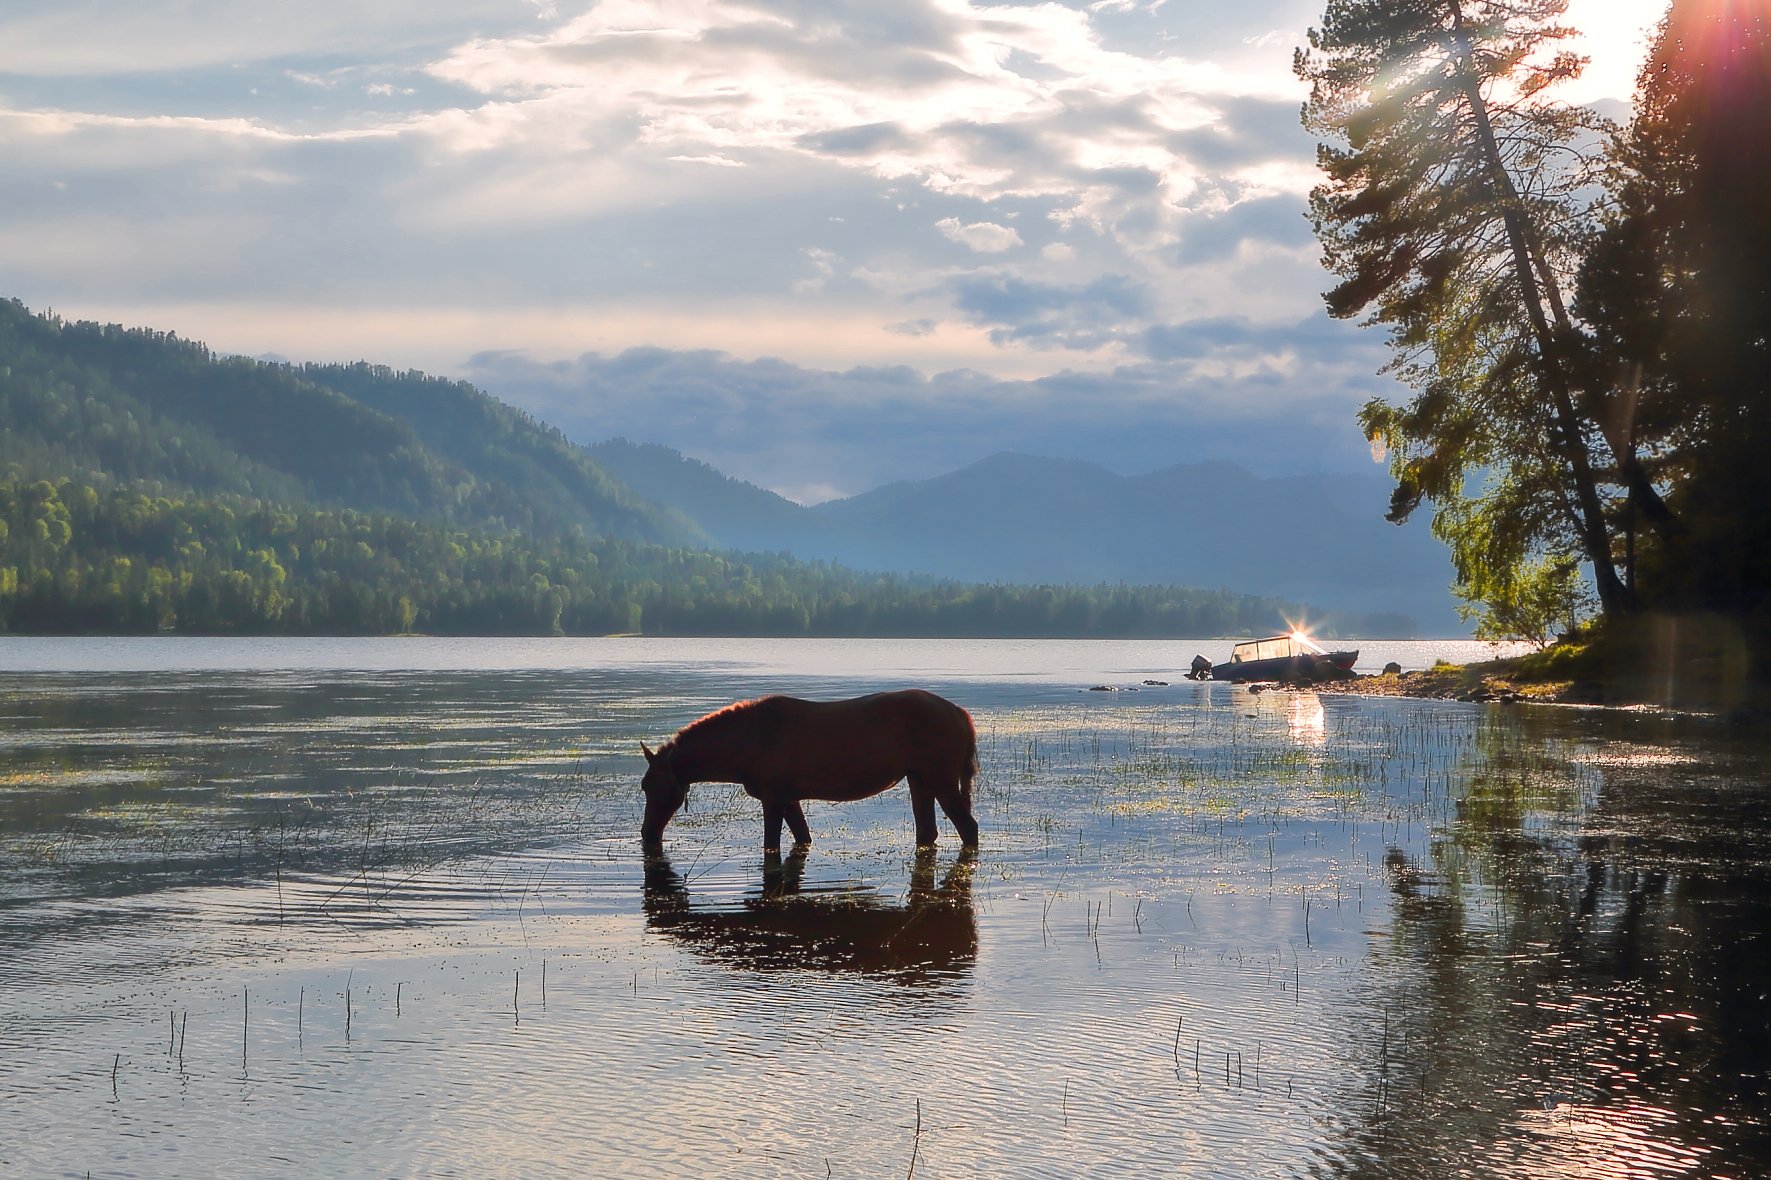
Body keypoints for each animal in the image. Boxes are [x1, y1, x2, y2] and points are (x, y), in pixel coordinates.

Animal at [641, 683, 984, 850]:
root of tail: (960, 713)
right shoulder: (789, 799)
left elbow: (771, 844)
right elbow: (802, 838)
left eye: (651, 787)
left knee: (968, 827)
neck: (749, 741)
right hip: (919, 779)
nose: (647, 834)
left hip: (940, 779)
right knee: (927, 832)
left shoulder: (773, 799)